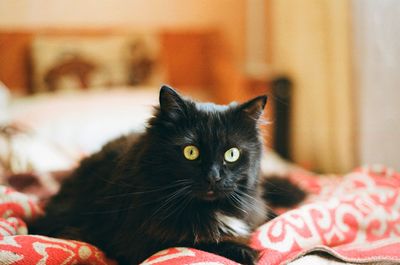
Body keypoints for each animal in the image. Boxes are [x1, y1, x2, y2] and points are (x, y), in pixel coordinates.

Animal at [29, 85, 304, 262]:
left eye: (232, 154)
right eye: (191, 152)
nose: (213, 177)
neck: (210, 210)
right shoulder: (139, 242)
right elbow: (201, 243)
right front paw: (247, 251)